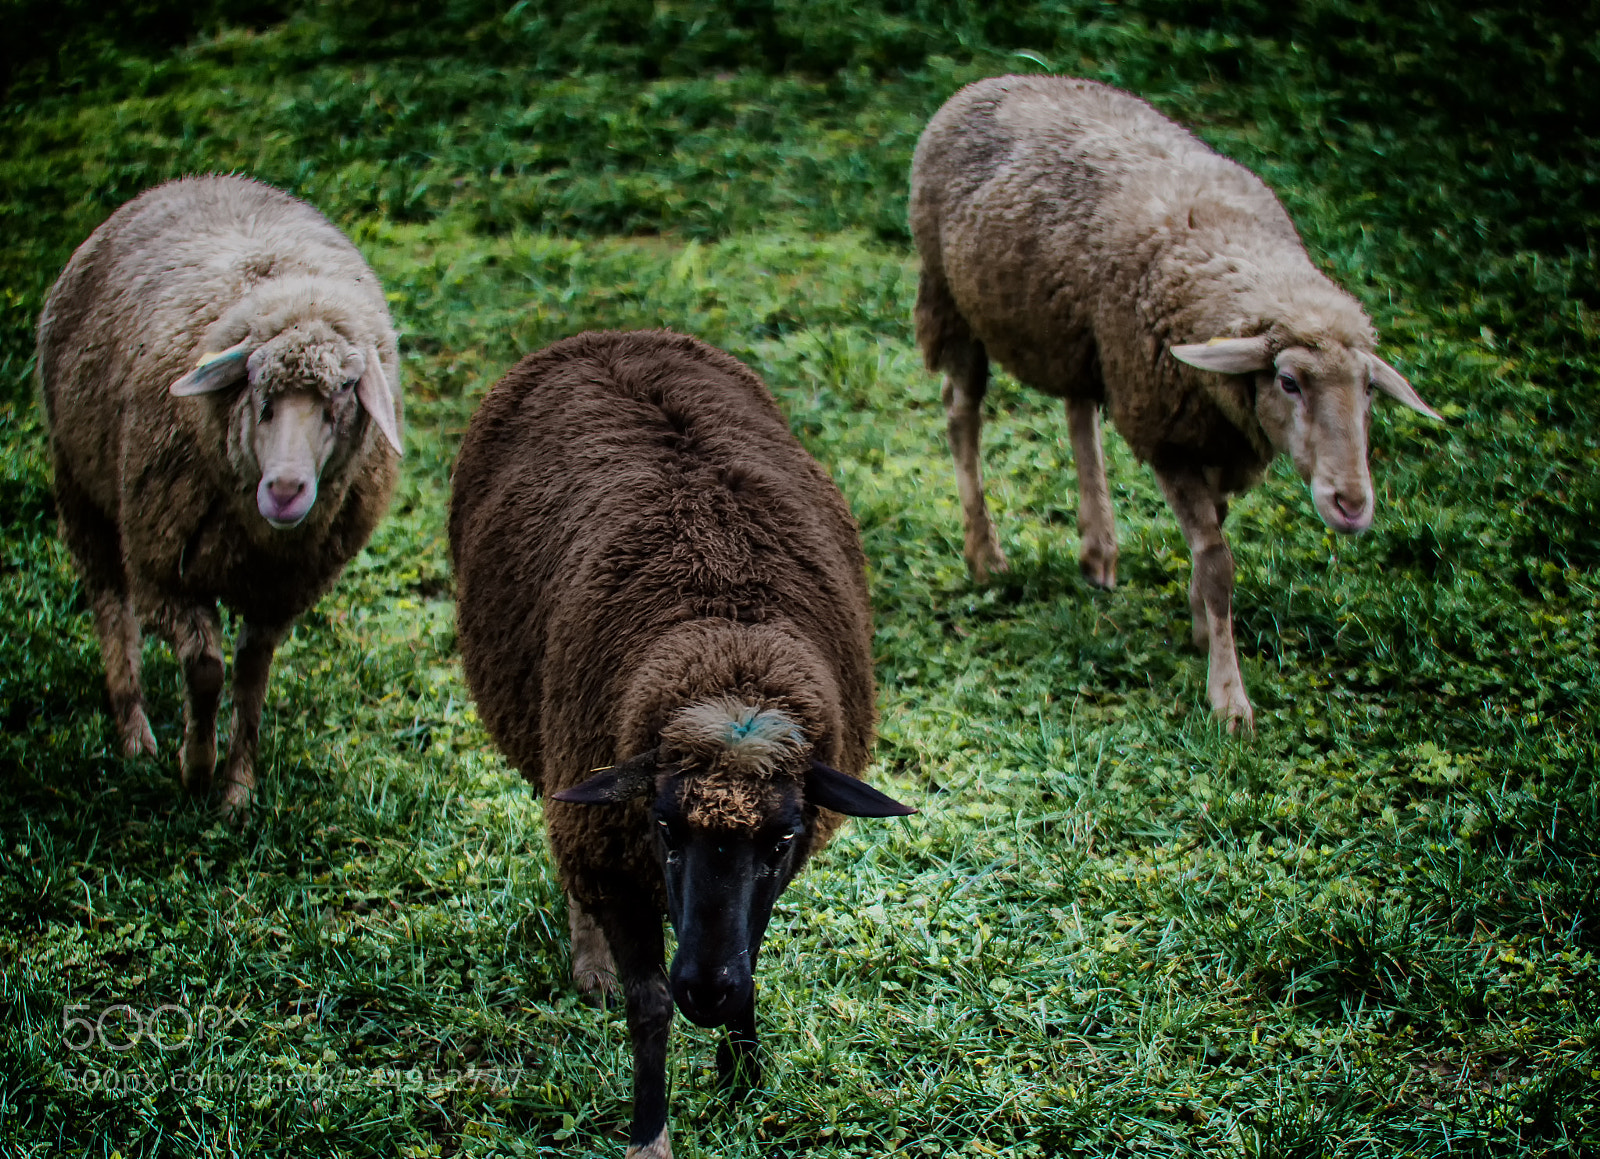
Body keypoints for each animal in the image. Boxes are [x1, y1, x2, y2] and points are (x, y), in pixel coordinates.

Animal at [36, 174, 404, 812]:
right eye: (259, 397)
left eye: (340, 401)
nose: (285, 491)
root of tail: (197, 179)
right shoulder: (164, 567)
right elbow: (205, 667)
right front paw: (197, 769)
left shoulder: (280, 590)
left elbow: (251, 673)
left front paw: (238, 787)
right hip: (79, 483)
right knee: (109, 603)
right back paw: (134, 732)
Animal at [449, 329, 914, 1159]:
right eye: (664, 825)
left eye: (782, 837)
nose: (706, 989)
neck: (727, 643)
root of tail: (607, 335)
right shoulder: (613, 845)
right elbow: (649, 1005)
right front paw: (650, 1132)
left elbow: (749, 953)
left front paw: (742, 1074)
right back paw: (592, 959)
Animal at [910, 75, 1440, 729]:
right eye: (1289, 381)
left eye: (1367, 387)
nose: (1351, 504)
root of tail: (992, 80)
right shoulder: (1169, 436)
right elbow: (1218, 563)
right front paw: (1229, 697)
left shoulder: (1220, 437)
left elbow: (1213, 535)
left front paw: (1201, 627)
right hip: (954, 298)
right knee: (963, 413)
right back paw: (986, 557)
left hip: (1082, 336)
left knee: (1078, 410)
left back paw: (1098, 549)